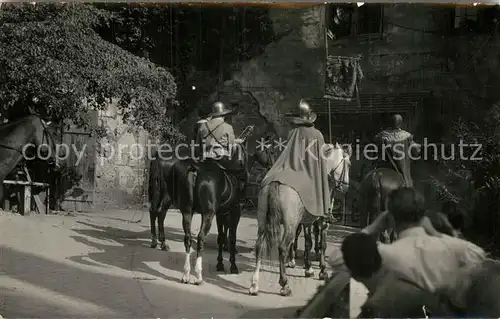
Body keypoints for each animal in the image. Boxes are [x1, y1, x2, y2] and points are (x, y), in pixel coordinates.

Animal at [147, 138, 250, 284]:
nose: (247, 175)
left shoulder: (220, 213)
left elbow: (221, 236)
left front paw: (220, 263)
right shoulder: (234, 211)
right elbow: (232, 237)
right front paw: (233, 265)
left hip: (184, 209)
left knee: (185, 235)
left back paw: (183, 271)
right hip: (203, 212)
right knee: (198, 236)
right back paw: (197, 275)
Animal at [248, 143, 350, 298]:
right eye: (349, 164)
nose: (345, 186)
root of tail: (275, 183)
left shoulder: (307, 221)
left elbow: (308, 242)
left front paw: (308, 268)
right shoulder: (322, 221)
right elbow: (322, 245)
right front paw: (322, 271)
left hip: (263, 223)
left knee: (259, 246)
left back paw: (254, 284)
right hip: (290, 225)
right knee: (282, 248)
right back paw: (284, 284)